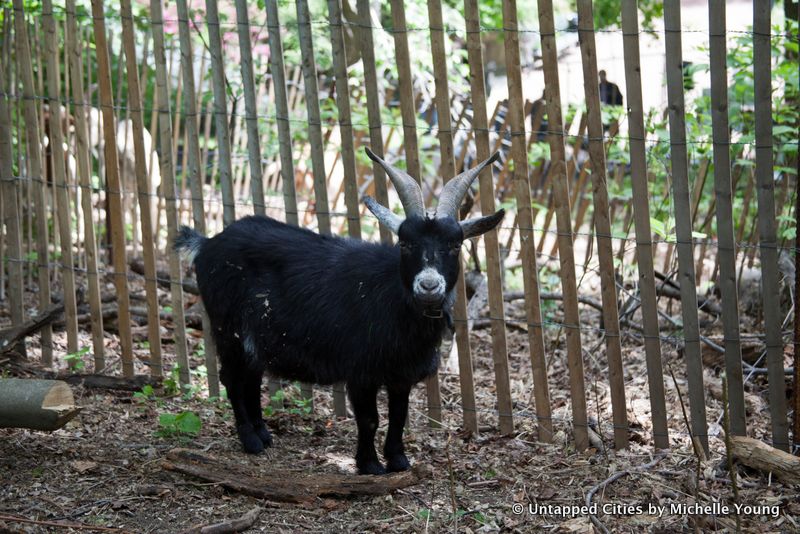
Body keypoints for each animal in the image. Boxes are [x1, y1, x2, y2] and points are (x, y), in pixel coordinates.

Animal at [176, 148, 504, 478]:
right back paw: (250, 441)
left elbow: (399, 415)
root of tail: (207, 244)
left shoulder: (401, 374)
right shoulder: (360, 371)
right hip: (226, 328)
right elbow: (370, 419)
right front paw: (370, 465)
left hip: (254, 335)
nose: (428, 285)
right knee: (232, 379)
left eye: (455, 244)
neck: (395, 301)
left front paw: (398, 460)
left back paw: (263, 434)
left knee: (252, 377)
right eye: (405, 242)